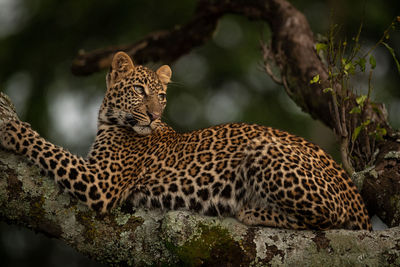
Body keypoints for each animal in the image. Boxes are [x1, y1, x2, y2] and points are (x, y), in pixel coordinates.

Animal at [0, 51, 372, 230]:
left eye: (162, 96)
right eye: (140, 90)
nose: (152, 115)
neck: (109, 121)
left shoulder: (101, 183)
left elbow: (49, 148)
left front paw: (10, 127)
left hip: (263, 148)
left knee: (330, 217)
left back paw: (252, 211)